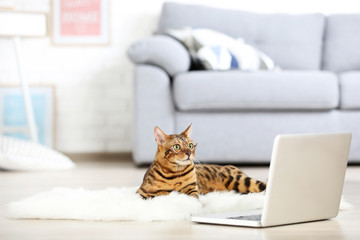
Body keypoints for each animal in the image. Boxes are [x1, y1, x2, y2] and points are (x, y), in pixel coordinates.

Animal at [136, 124, 266, 199]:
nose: (189, 153)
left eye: (190, 145)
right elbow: (156, 193)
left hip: (241, 181)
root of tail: (233, 166)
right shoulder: (141, 191)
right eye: (177, 146)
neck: (174, 173)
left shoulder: (191, 189)